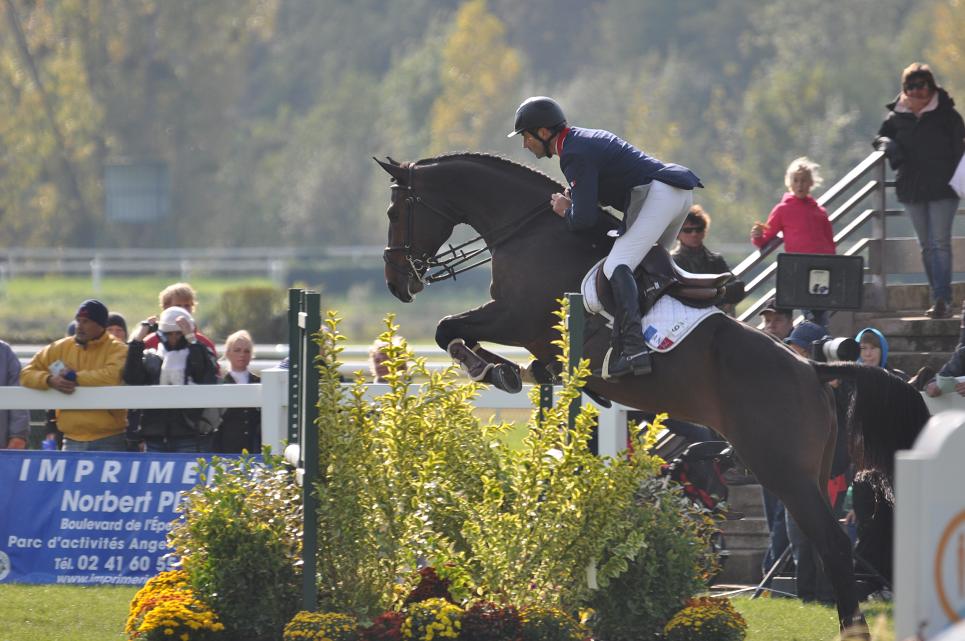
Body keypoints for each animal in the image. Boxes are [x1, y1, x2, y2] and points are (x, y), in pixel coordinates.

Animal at [374, 151, 928, 636]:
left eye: (396, 212)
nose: (398, 284)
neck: (528, 230)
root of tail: (813, 368)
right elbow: (492, 347)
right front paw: (511, 372)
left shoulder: (516, 317)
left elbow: (449, 328)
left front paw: (492, 369)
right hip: (808, 470)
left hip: (782, 469)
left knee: (832, 544)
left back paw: (854, 629)